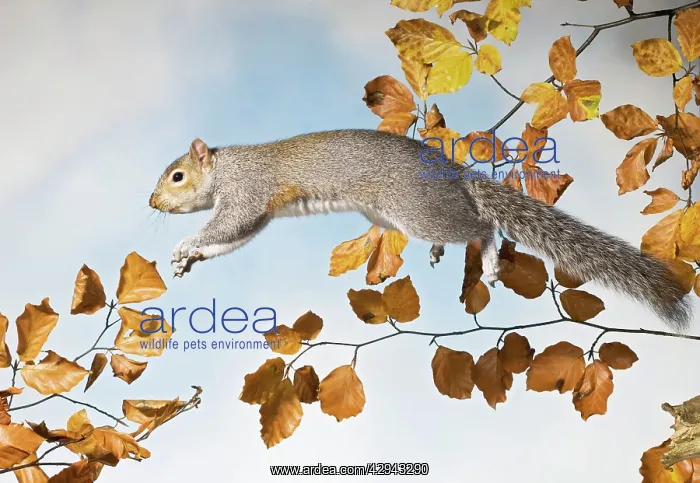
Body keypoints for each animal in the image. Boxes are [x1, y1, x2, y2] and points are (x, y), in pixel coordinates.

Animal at [148, 129, 694, 331]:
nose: (151, 202)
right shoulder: (256, 211)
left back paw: (488, 258)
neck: (226, 167)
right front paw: (188, 258)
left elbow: (228, 225)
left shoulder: (247, 194)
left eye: (176, 176)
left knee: (481, 224)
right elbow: (234, 238)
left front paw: (186, 244)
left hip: (419, 209)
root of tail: (453, 173)